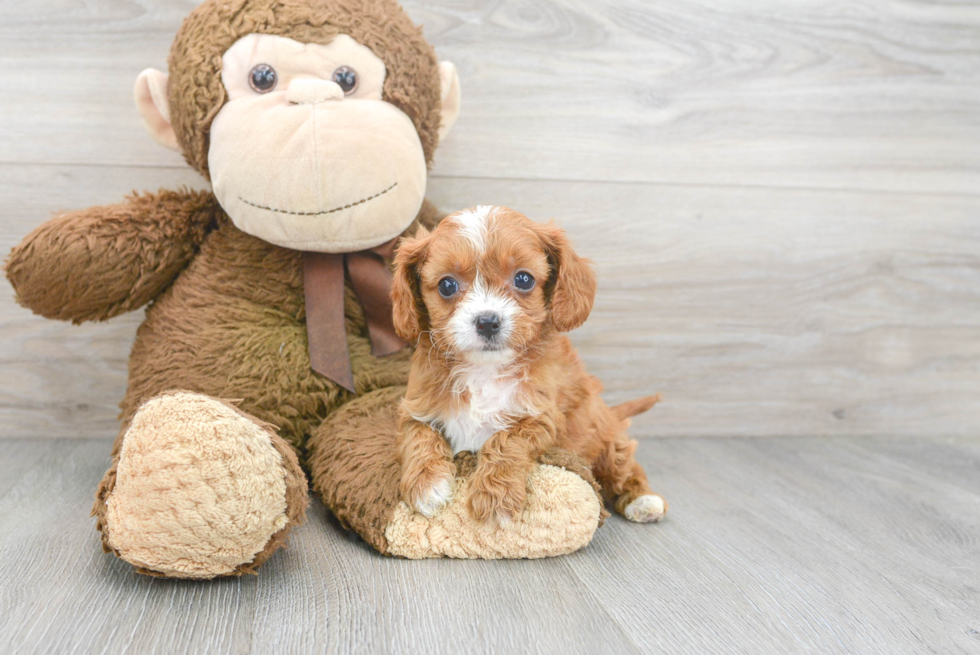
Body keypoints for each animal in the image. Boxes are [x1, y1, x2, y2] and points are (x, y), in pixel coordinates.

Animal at [390, 208, 668, 524]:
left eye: (523, 279)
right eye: (446, 285)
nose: (488, 321)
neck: (484, 370)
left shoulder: (540, 417)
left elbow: (504, 440)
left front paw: (495, 497)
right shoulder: (416, 409)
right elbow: (419, 436)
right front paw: (426, 484)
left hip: (603, 433)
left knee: (623, 463)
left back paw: (643, 499)